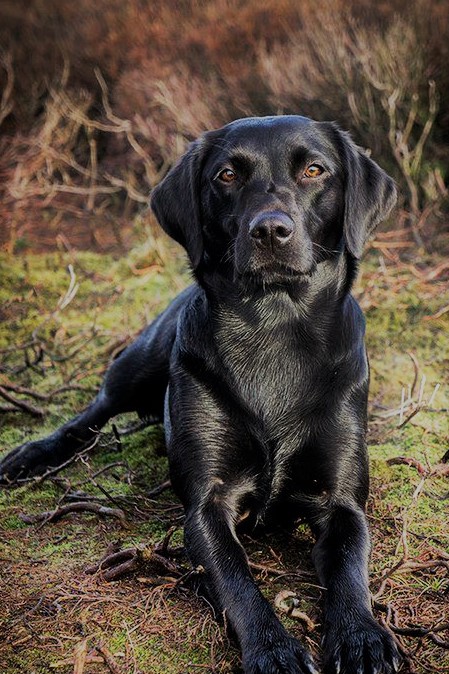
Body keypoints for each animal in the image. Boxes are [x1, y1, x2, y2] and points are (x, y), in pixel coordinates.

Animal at [0, 117, 400, 672]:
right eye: (227, 175)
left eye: (315, 170)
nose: (270, 230)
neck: (274, 325)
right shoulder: (207, 504)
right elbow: (235, 580)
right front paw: (274, 648)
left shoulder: (341, 502)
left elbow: (350, 570)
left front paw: (362, 636)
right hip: (140, 361)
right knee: (95, 411)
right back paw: (33, 454)